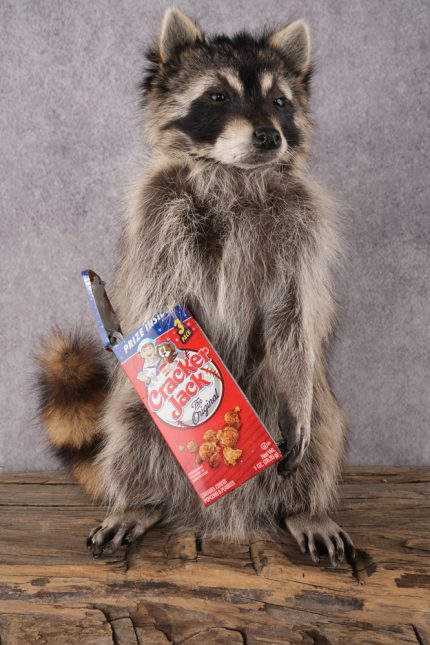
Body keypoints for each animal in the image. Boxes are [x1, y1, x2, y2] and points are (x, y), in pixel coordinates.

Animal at [37, 9, 355, 566]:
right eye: (218, 96)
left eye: (279, 101)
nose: (269, 136)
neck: (234, 174)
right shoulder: (159, 215)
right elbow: (162, 303)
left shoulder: (300, 230)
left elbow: (293, 316)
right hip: (137, 416)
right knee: (131, 431)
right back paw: (139, 500)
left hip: (307, 402)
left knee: (319, 430)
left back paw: (304, 508)